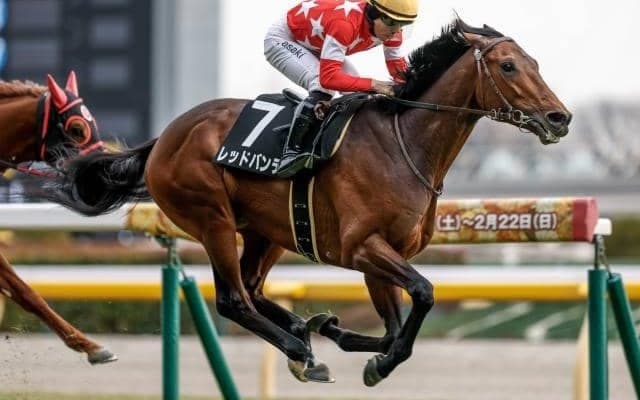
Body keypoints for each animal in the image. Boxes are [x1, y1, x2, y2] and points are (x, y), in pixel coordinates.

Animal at [44, 19, 571, 385]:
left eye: (537, 64)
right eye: (508, 66)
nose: (559, 118)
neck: (404, 143)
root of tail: (164, 138)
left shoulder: (383, 255)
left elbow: (393, 327)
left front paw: (338, 331)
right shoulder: (363, 247)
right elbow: (422, 295)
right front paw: (372, 361)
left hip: (268, 231)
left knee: (253, 289)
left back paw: (302, 331)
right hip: (212, 218)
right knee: (233, 299)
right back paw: (300, 350)